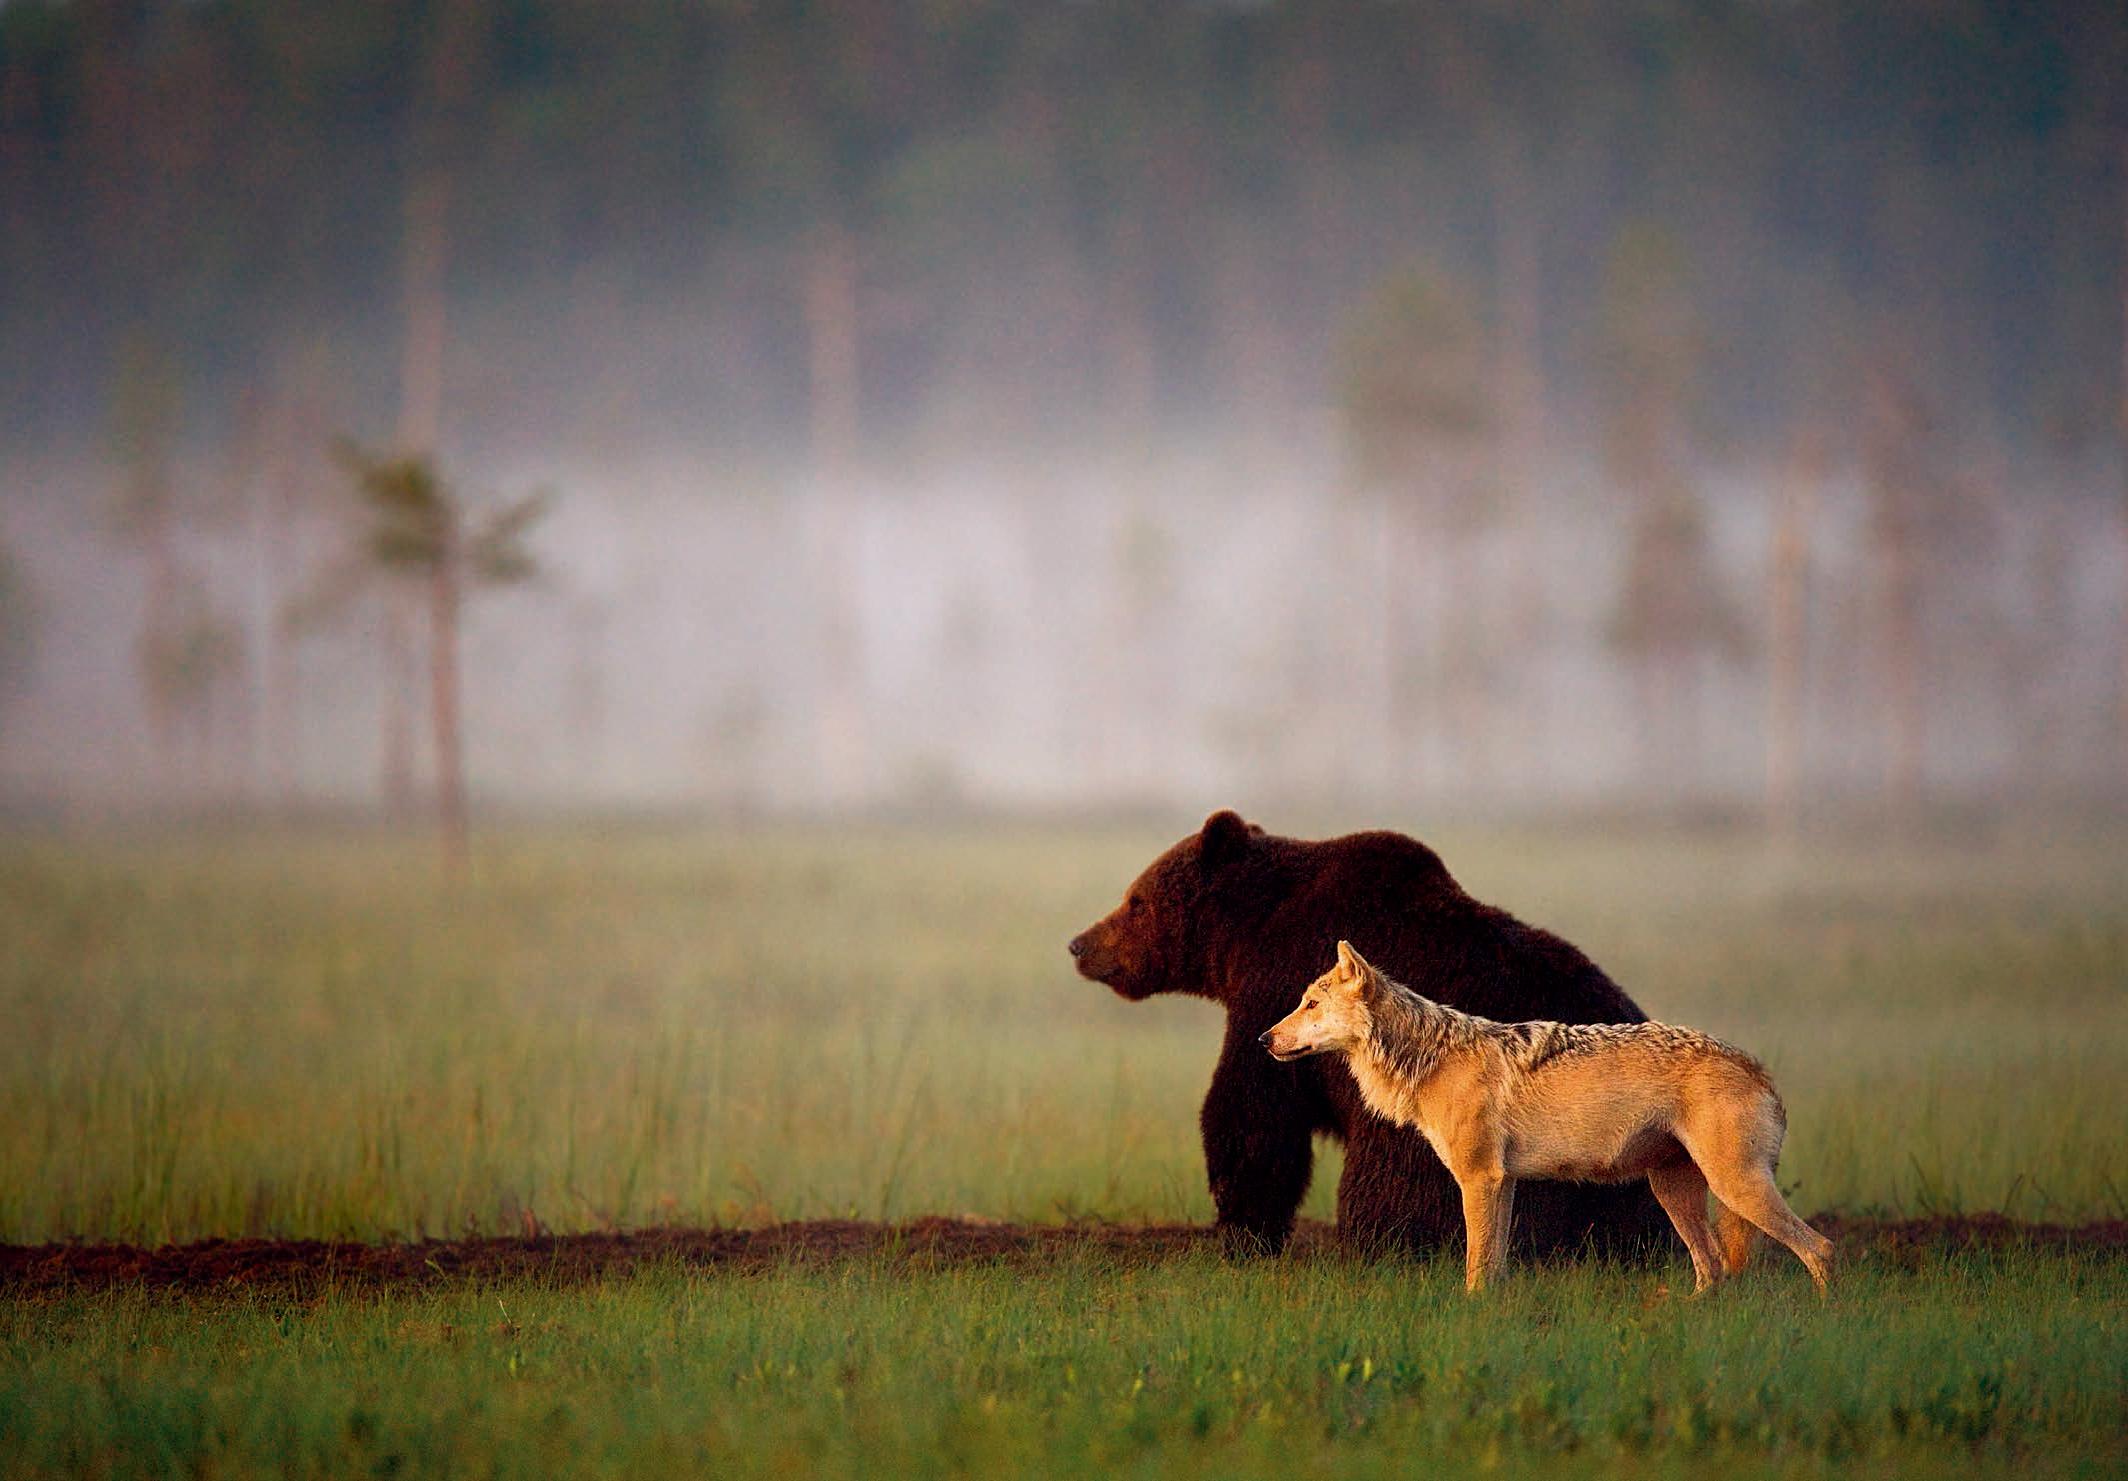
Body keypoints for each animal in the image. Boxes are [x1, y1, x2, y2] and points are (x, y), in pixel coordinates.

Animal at [1072, 808, 1668, 1259]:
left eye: (1136, 900)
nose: (1080, 943)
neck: (1247, 934)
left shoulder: (1274, 989)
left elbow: (1253, 1111)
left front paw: (1243, 1229)